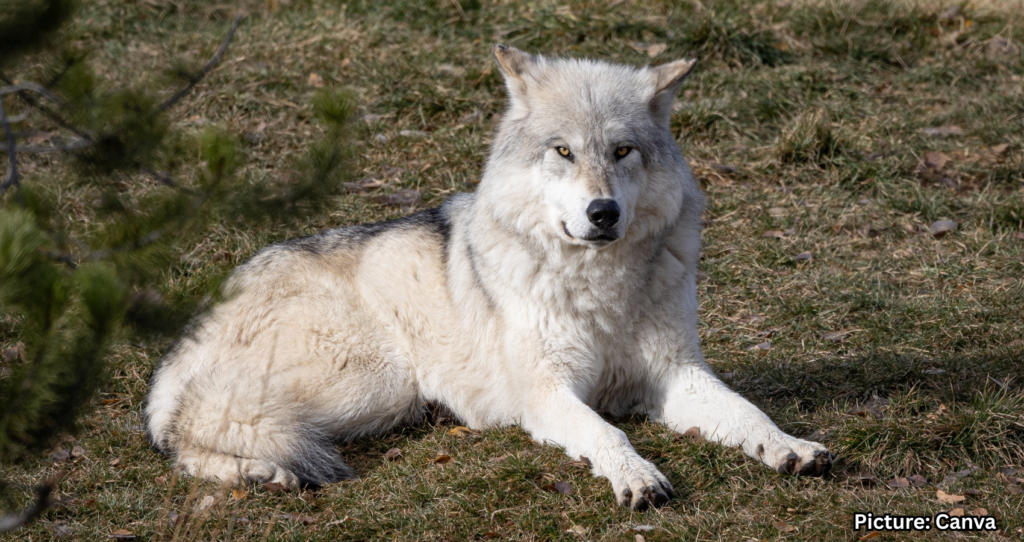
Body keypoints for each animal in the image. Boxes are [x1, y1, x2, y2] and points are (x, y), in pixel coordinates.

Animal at [145, 45, 833, 510]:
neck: (599, 287)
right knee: (191, 429)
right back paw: (263, 474)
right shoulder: (548, 393)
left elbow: (746, 412)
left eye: (622, 151)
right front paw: (636, 476)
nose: (603, 212)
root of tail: (191, 326)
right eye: (563, 151)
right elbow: (605, 431)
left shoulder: (673, 374)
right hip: (377, 380)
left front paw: (790, 445)